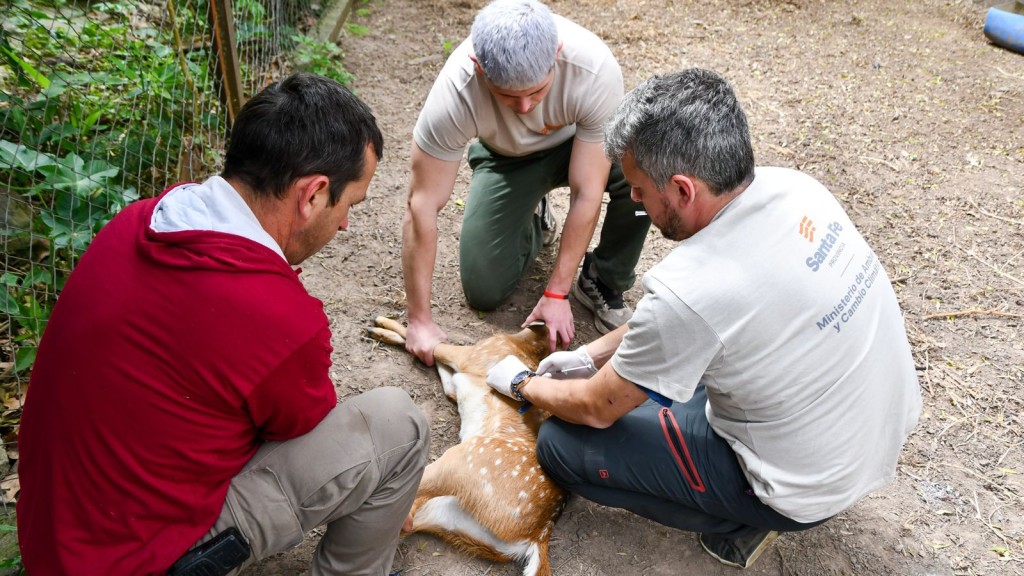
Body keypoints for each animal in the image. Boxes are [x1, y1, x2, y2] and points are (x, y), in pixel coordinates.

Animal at [366, 316, 568, 576]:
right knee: (400, 527)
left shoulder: (472, 354)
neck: (521, 343)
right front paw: (383, 331)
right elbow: (441, 371)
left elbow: (433, 347)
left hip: (465, 459)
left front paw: (382, 325)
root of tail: (539, 534)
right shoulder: (456, 383)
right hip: (450, 517)